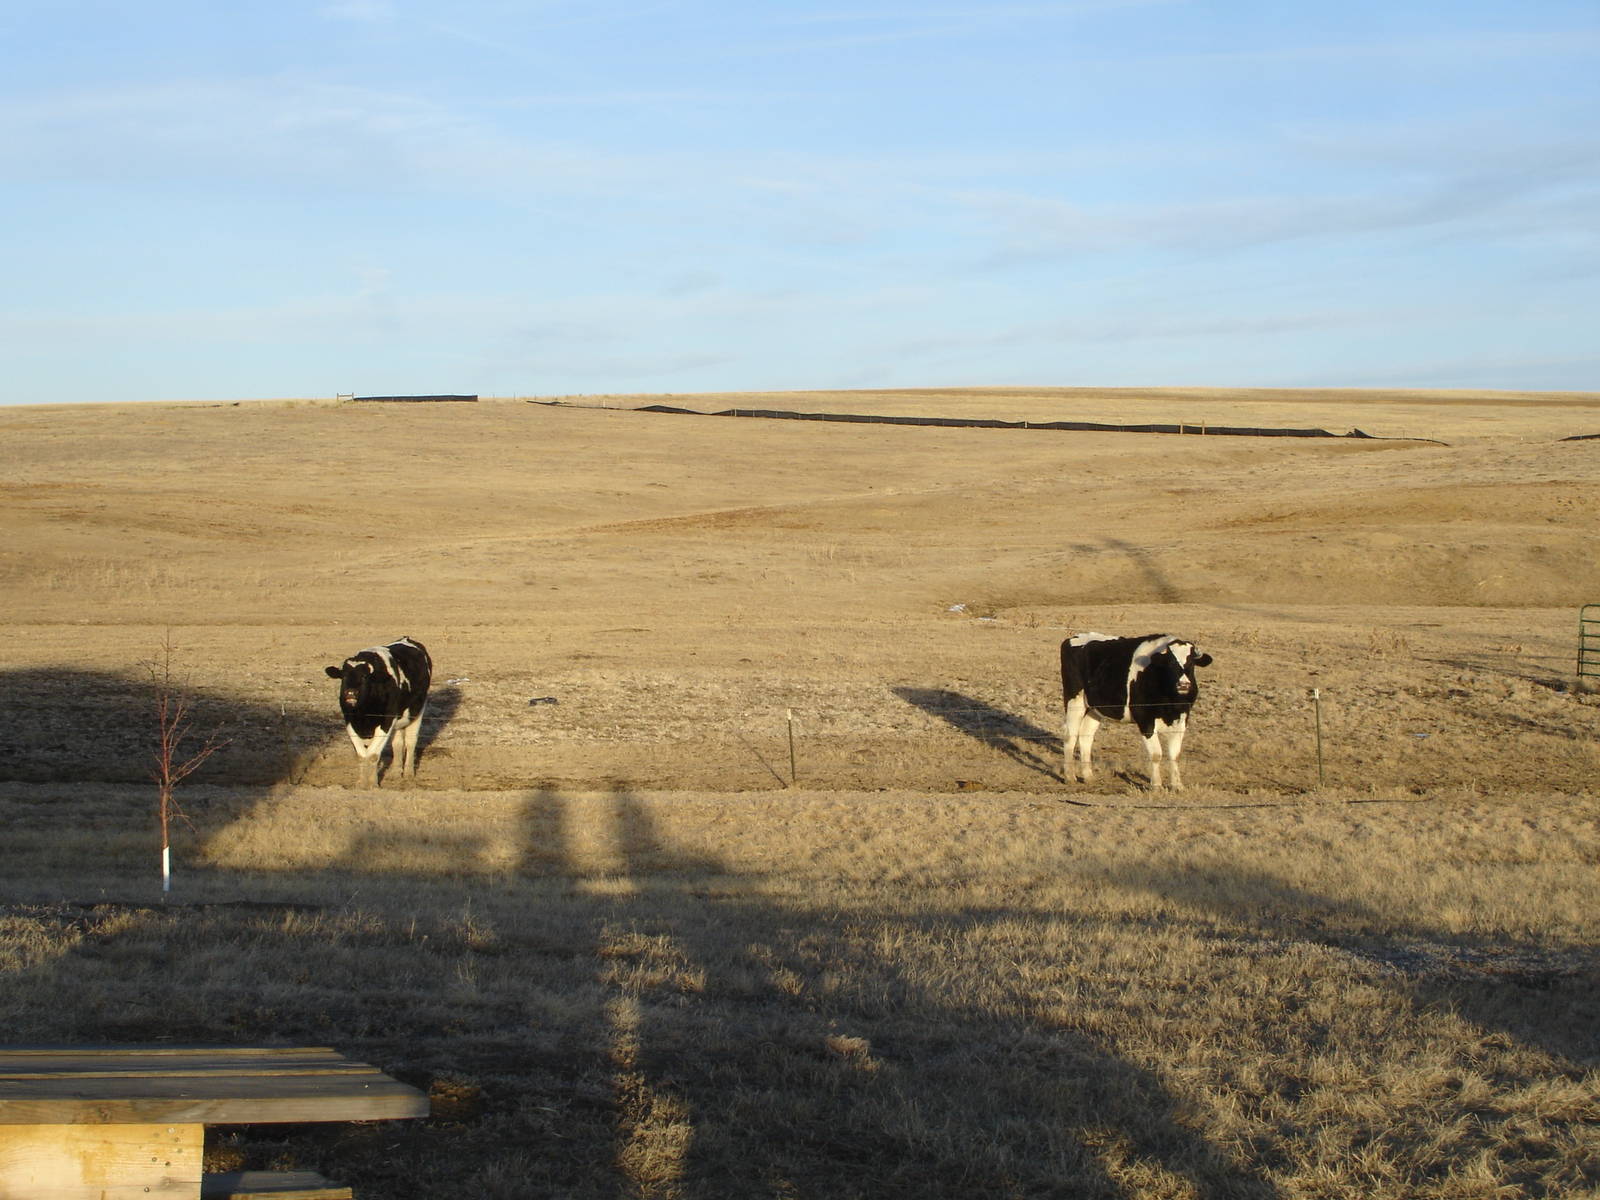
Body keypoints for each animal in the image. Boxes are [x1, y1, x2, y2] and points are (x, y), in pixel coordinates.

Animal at [324, 637, 432, 788]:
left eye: (364, 677)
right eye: (343, 677)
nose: (350, 694)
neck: (363, 713)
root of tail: (407, 639)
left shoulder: (386, 721)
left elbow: (373, 754)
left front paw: (373, 784)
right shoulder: (350, 721)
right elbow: (362, 755)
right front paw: (362, 782)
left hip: (418, 711)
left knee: (411, 742)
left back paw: (409, 773)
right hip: (398, 720)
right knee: (398, 744)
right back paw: (395, 773)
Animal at [1061, 632, 1212, 790]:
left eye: (1191, 663)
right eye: (1170, 664)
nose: (1183, 685)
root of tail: (1075, 637)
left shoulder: (1182, 719)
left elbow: (1174, 754)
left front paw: (1177, 785)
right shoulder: (1145, 719)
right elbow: (1156, 754)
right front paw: (1156, 785)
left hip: (1094, 708)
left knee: (1086, 736)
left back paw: (1088, 776)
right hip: (1075, 701)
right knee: (1070, 735)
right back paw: (1070, 776)